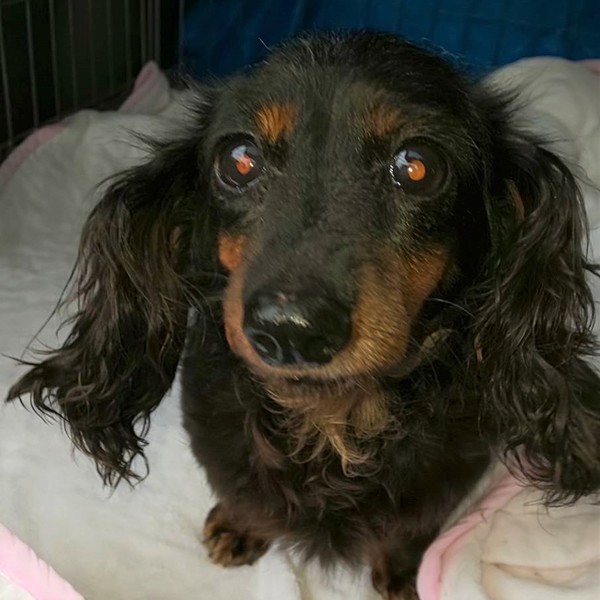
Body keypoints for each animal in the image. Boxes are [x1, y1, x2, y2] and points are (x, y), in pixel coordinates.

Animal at [8, 32, 600, 599]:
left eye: (417, 166)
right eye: (239, 159)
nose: (291, 331)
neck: (330, 417)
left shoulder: (448, 471)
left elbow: (408, 530)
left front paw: (403, 573)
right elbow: (244, 494)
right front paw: (240, 526)